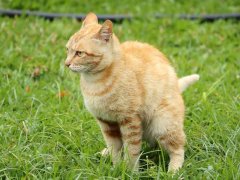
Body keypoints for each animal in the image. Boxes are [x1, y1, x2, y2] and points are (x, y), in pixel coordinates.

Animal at [64, 12, 200, 172]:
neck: (95, 82)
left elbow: (132, 150)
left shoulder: (130, 121)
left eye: (79, 53)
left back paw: (173, 171)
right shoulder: (106, 123)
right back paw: (105, 153)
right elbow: (115, 148)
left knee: (178, 148)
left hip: (163, 125)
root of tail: (177, 87)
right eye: (67, 50)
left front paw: (129, 171)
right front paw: (116, 167)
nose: (66, 64)